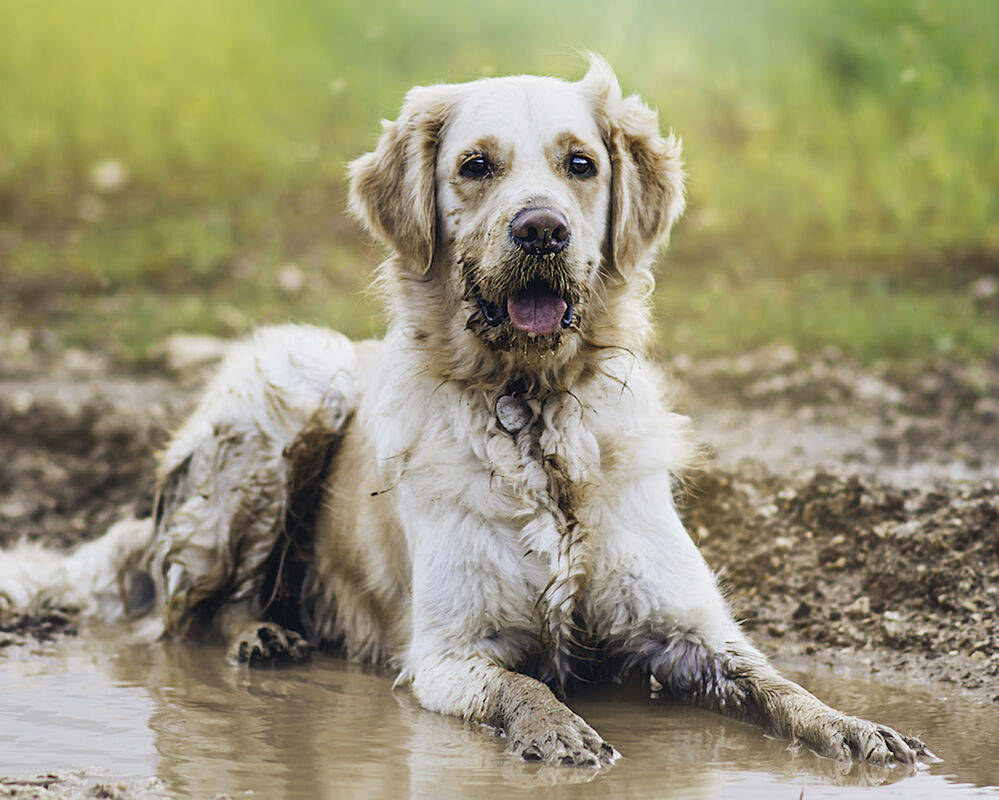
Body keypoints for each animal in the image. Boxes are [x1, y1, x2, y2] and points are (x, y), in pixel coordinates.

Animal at [1, 54, 936, 768]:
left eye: (580, 164)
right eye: (476, 166)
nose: (541, 230)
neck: (535, 413)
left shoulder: (687, 630)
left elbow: (778, 683)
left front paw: (855, 727)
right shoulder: (448, 653)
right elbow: (521, 684)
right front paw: (561, 732)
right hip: (295, 379)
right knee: (184, 618)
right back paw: (261, 635)